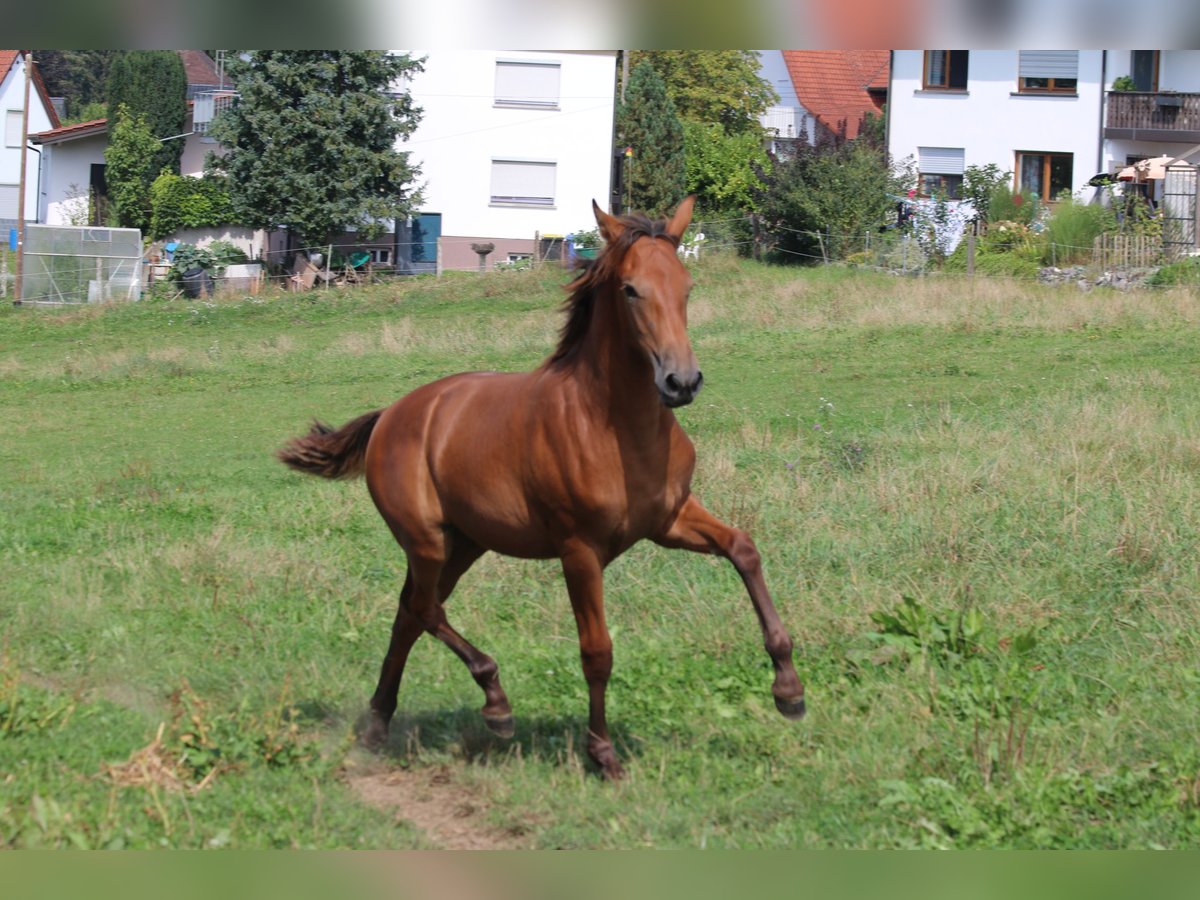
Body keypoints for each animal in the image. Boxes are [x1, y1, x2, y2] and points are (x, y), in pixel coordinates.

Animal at [278, 199, 806, 782]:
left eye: (687, 286)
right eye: (630, 289)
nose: (681, 382)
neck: (613, 426)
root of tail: (391, 414)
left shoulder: (669, 520)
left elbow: (743, 549)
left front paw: (788, 689)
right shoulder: (579, 551)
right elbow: (596, 650)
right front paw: (603, 753)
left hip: (464, 544)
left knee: (409, 613)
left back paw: (378, 725)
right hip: (427, 541)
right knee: (421, 608)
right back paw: (495, 703)